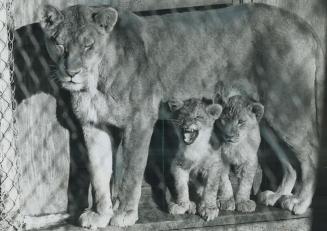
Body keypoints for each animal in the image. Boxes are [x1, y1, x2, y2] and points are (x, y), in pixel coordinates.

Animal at [40, 2, 322, 228]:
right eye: (59, 43)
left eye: (88, 45)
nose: (71, 73)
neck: (95, 80)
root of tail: (304, 25)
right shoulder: (93, 124)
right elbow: (99, 175)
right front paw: (100, 214)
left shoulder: (140, 120)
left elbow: (130, 173)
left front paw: (124, 214)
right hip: (267, 118)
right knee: (289, 162)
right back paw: (276, 195)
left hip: (286, 108)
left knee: (311, 154)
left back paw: (300, 201)